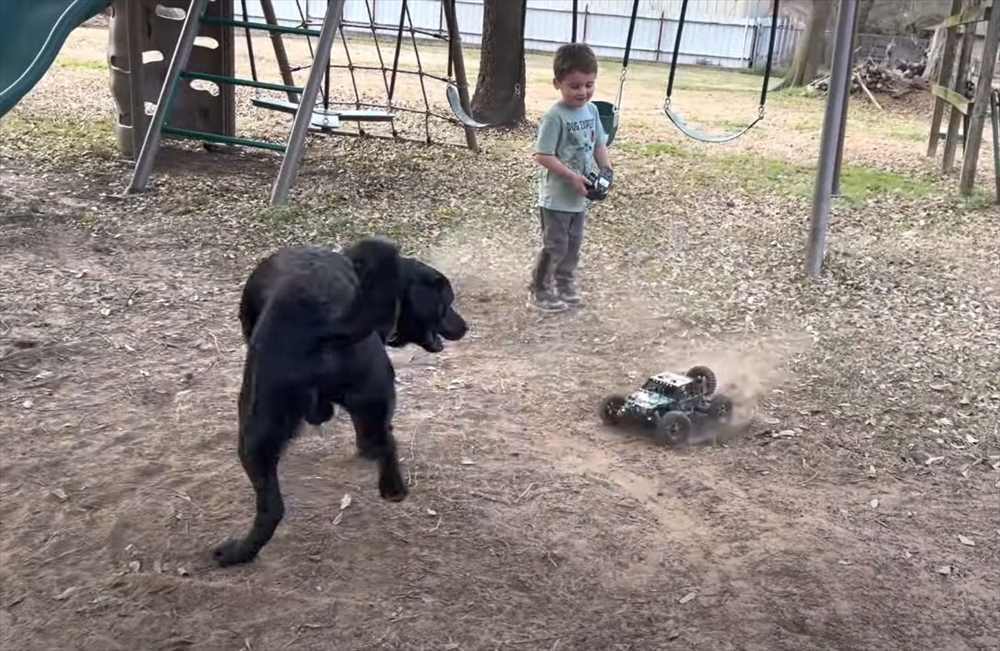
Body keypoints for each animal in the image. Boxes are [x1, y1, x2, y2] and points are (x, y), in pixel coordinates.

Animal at [215, 238, 464, 564]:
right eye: (446, 303)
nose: (465, 326)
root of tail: (323, 321)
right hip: (371, 397)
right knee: (382, 441)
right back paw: (392, 488)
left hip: (255, 426)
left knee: (272, 507)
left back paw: (238, 552)